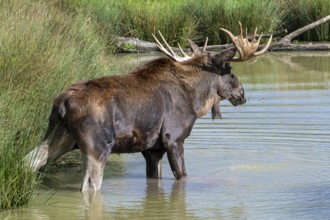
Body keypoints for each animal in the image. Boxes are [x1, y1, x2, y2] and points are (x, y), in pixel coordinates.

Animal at [25, 23, 274, 191]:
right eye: (230, 70)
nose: (242, 94)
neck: (195, 98)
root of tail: (62, 104)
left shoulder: (152, 149)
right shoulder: (174, 139)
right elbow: (183, 177)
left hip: (60, 137)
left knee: (29, 161)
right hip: (98, 145)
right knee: (89, 186)